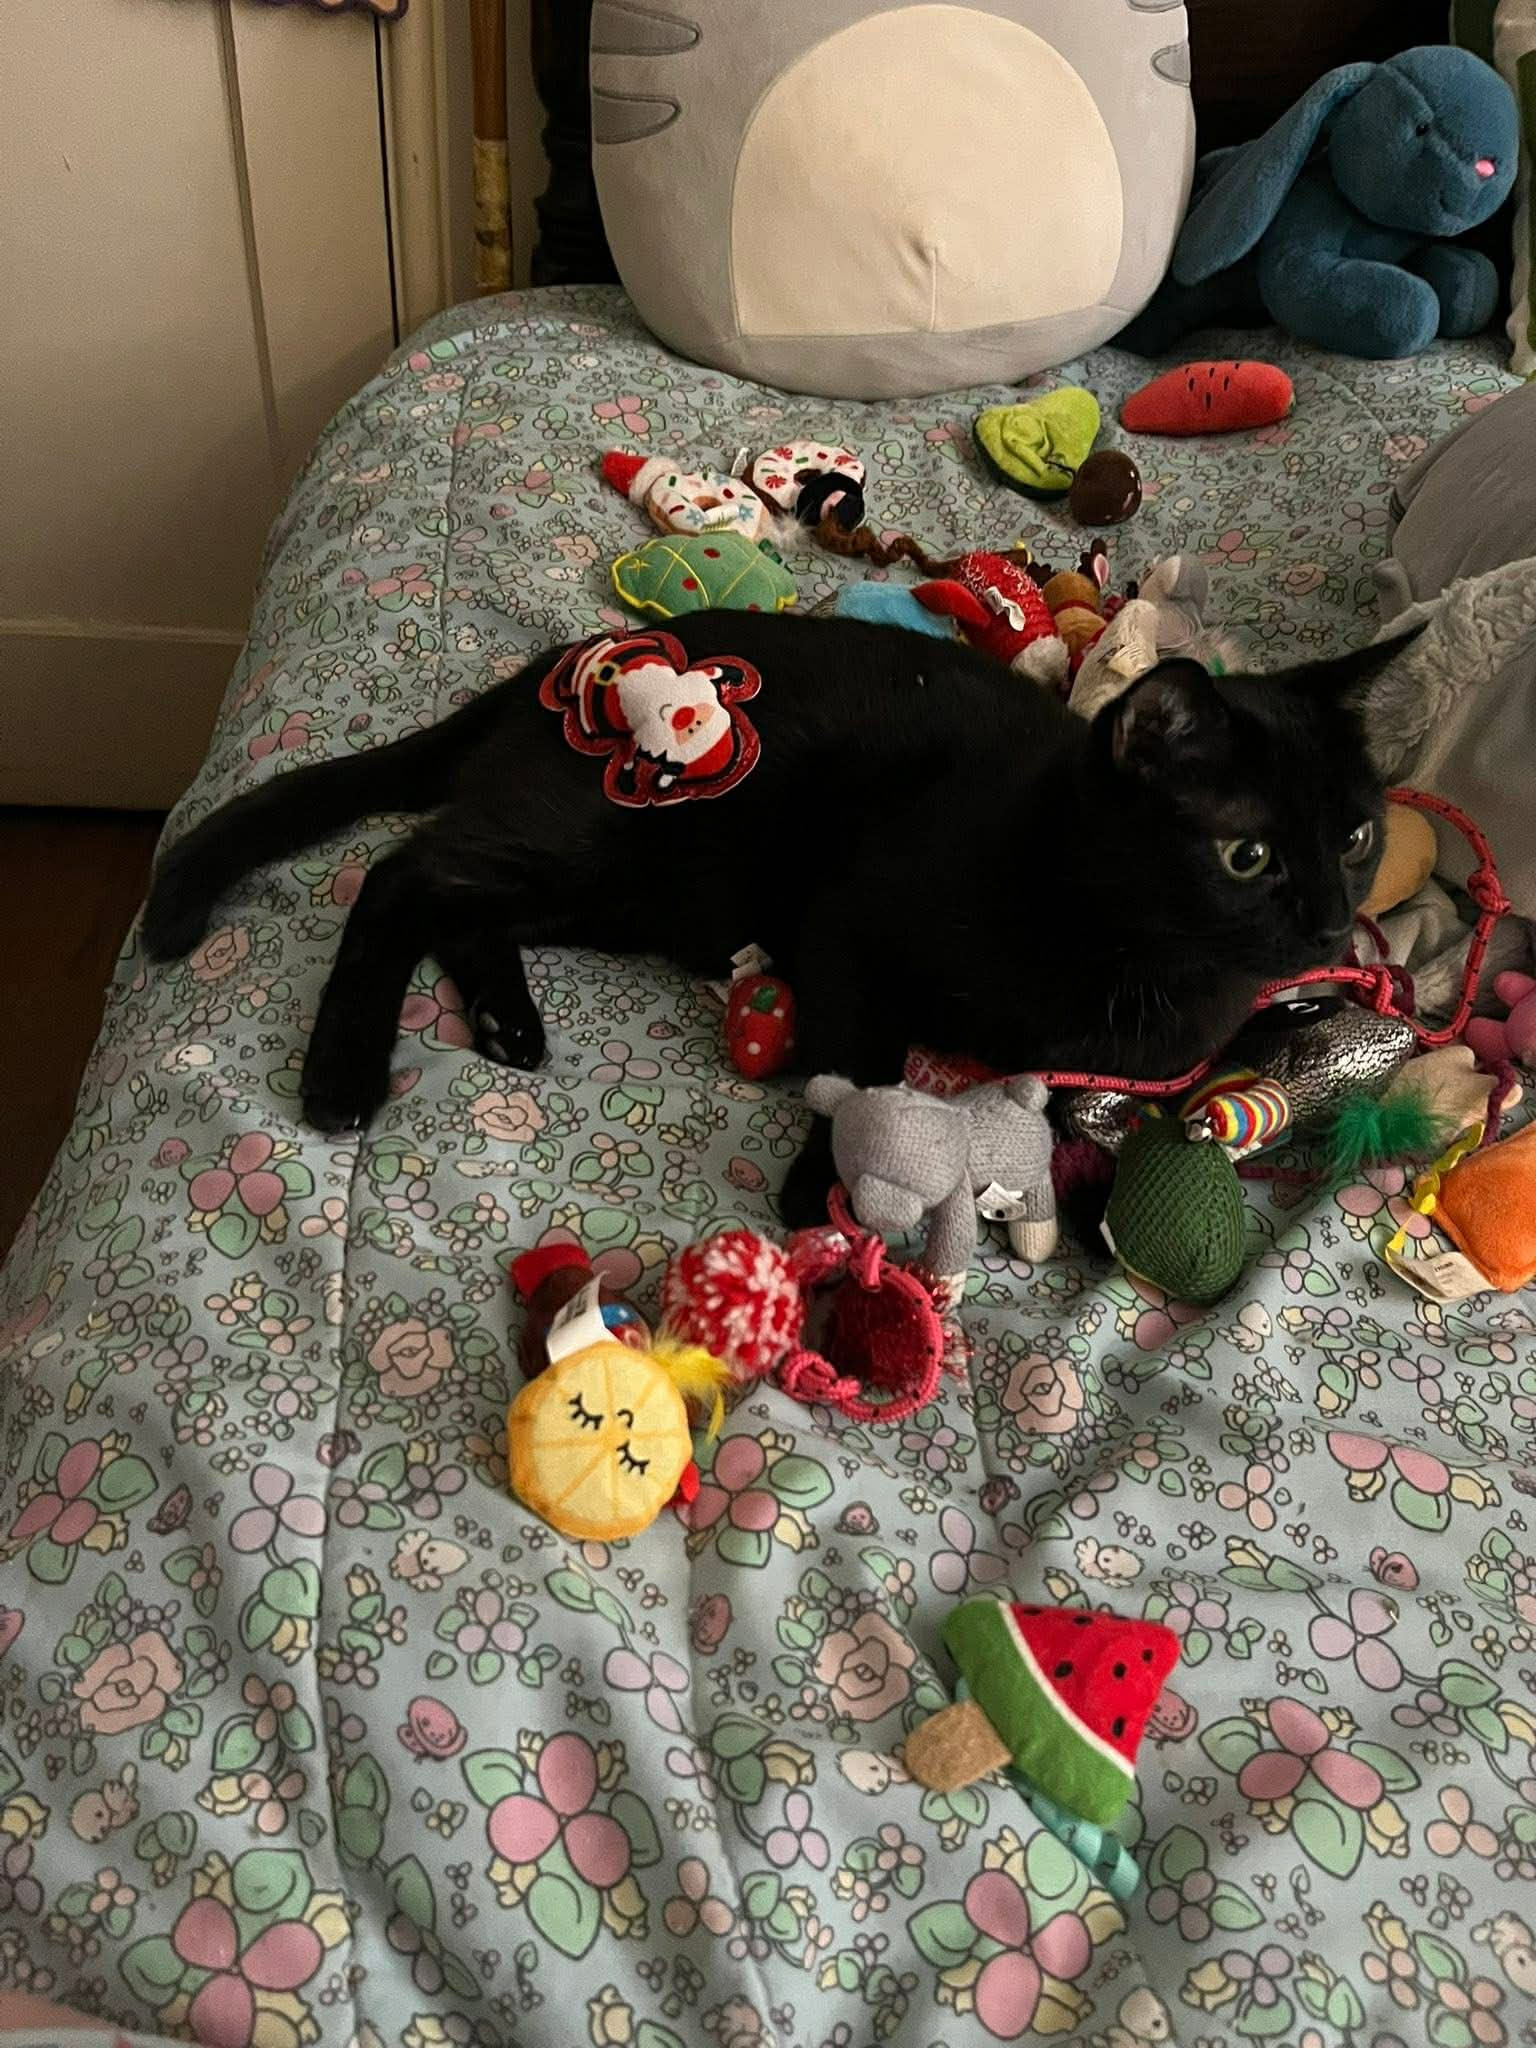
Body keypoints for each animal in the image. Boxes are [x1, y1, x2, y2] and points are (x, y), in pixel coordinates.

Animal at [142, 610, 1396, 1225]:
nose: (1333, 926)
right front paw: (828, 1190)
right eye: (1246, 854)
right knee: (400, 874)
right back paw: (344, 1071)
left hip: (643, 893)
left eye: (1355, 834)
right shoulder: (849, 925)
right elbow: (865, 1063)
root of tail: (562, 659)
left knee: (456, 895)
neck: (1127, 950)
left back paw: (507, 1020)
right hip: (624, 846)